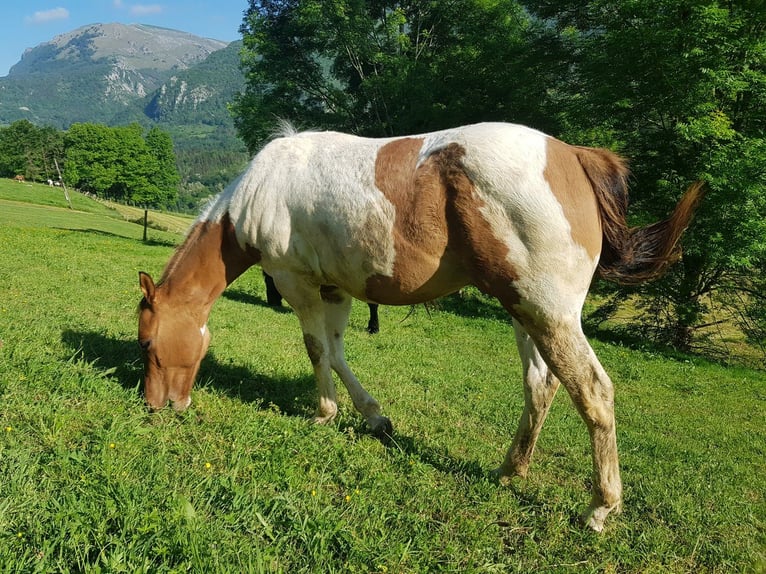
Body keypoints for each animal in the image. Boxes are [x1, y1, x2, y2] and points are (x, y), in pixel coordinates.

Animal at [138, 122, 703, 531]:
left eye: (147, 345)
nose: (157, 406)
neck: (260, 189)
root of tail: (573, 156)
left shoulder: (296, 281)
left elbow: (317, 349)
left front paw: (324, 413)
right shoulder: (336, 288)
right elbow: (337, 352)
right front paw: (372, 417)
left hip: (548, 314)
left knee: (592, 391)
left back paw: (601, 507)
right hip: (526, 313)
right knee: (541, 387)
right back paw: (510, 470)